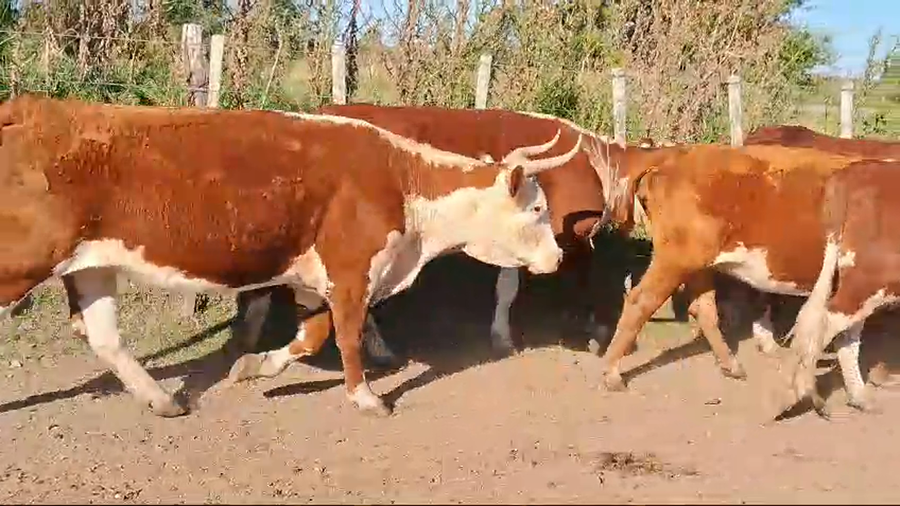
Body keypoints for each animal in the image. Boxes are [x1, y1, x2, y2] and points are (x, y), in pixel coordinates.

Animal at [0, 94, 583, 418]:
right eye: (537, 208)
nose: (558, 258)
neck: (402, 182)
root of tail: (29, 107)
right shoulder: (351, 271)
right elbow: (346, 337)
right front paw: (365, 398)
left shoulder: (316, 278)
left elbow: (311, 338)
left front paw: (253, 367)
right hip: (22, 262)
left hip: (92, 264)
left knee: (104, 336)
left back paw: (163, 400)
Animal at [780, 159, 900, 418]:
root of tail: (859, 170)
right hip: (869, 279)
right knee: (827, 323)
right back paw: (802, 394)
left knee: (842, 333)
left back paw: (859, 397)